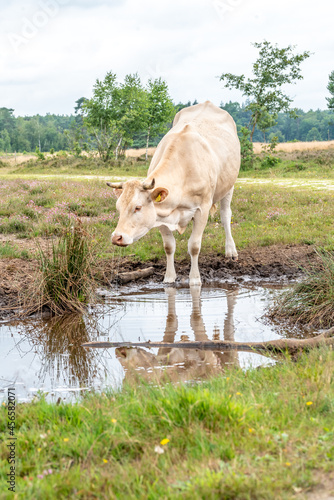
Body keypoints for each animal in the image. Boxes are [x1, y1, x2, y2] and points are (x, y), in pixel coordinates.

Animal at [107, 100, 240, 286]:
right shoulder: (161, 213)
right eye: (118, 208)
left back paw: (230, 250)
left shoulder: (202, 209)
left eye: (137, 207)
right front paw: (169, 278)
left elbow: (194, 246)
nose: (116, 237)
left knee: (225, 215)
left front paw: (195, 279)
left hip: (229, 186)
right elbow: (169, 246)